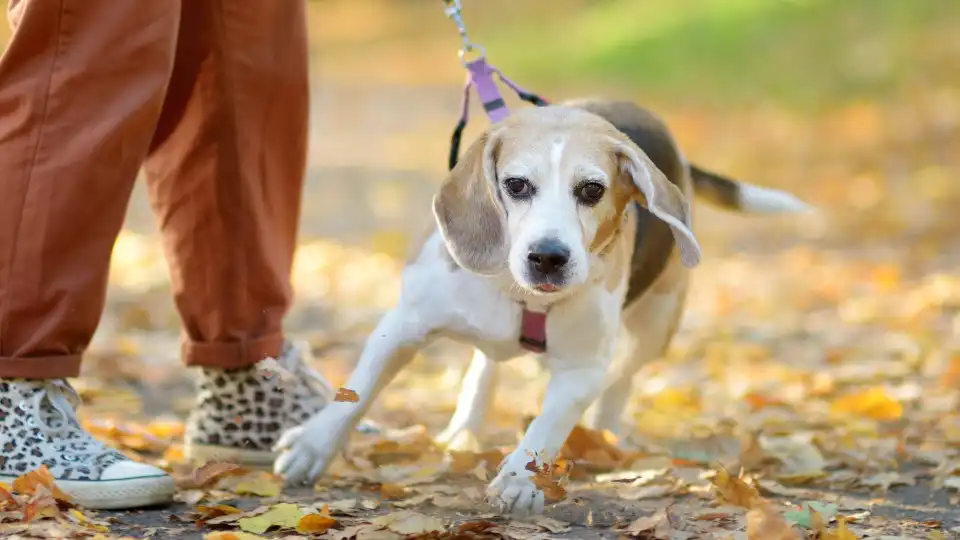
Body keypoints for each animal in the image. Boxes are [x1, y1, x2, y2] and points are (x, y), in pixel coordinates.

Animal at [274, 99, 812, 516]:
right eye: (516, 185)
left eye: (591, 189)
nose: (549, 257)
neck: (521, 292)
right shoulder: (404, 323)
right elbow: (356, 391)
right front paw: (312, 446)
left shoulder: (582, 368)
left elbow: (547, 423)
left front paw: (520, 478)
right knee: (485, 367)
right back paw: (464, 426)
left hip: (656, 324)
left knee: (621, 380)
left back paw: (607, 437)